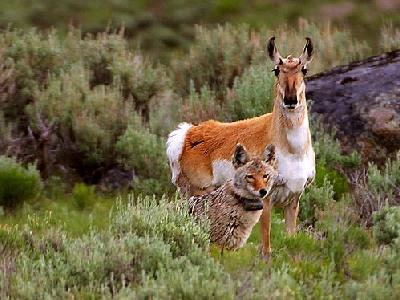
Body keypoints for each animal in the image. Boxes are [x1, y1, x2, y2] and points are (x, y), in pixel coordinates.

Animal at [166, 37, 316, 258]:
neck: (293, 150)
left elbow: (292, 240)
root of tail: (187, 135)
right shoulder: (266, 199)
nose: (290, 100)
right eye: (276, 70)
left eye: (304, 69)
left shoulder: (293, 199)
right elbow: (266, 246)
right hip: (198, 194)